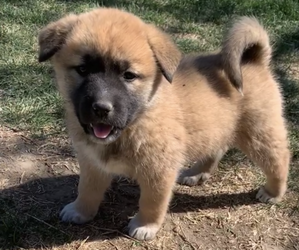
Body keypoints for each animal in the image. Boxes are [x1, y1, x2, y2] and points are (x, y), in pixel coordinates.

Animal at [38, 8, 290, 242]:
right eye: (82, 69)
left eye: (128, 75)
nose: (101, 108)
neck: (137, 121)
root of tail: (253, 60)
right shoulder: (92, 162)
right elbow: (87, 189)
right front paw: (81, 211)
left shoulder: (158, 171)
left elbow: (152, 201)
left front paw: (146, 225)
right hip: (219, 128)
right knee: (217, 148)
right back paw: (198, 173)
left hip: (259, 133)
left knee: (278, 160)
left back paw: (273, 192)